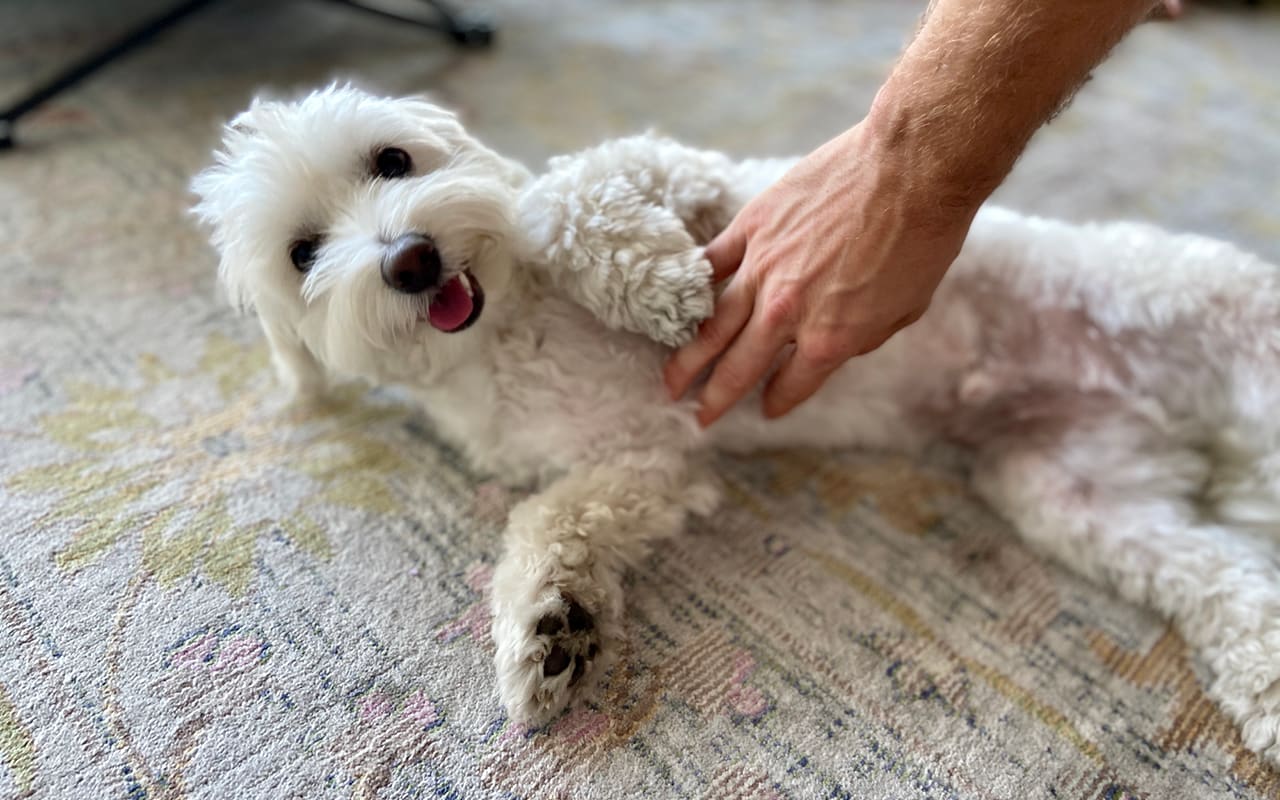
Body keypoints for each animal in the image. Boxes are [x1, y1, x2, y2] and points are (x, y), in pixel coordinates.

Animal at [186, 84, 1280, 757]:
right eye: (302, 251)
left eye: (392, 158)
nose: (410, 258)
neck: (506, 335)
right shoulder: (642, 463)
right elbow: (551, 520)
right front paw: (550, 629)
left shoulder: (706, 185)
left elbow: (566, 194)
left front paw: (661, 289)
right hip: (1081, 497)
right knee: (1226, 580)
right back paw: (1265, 681)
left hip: (1205, 311)